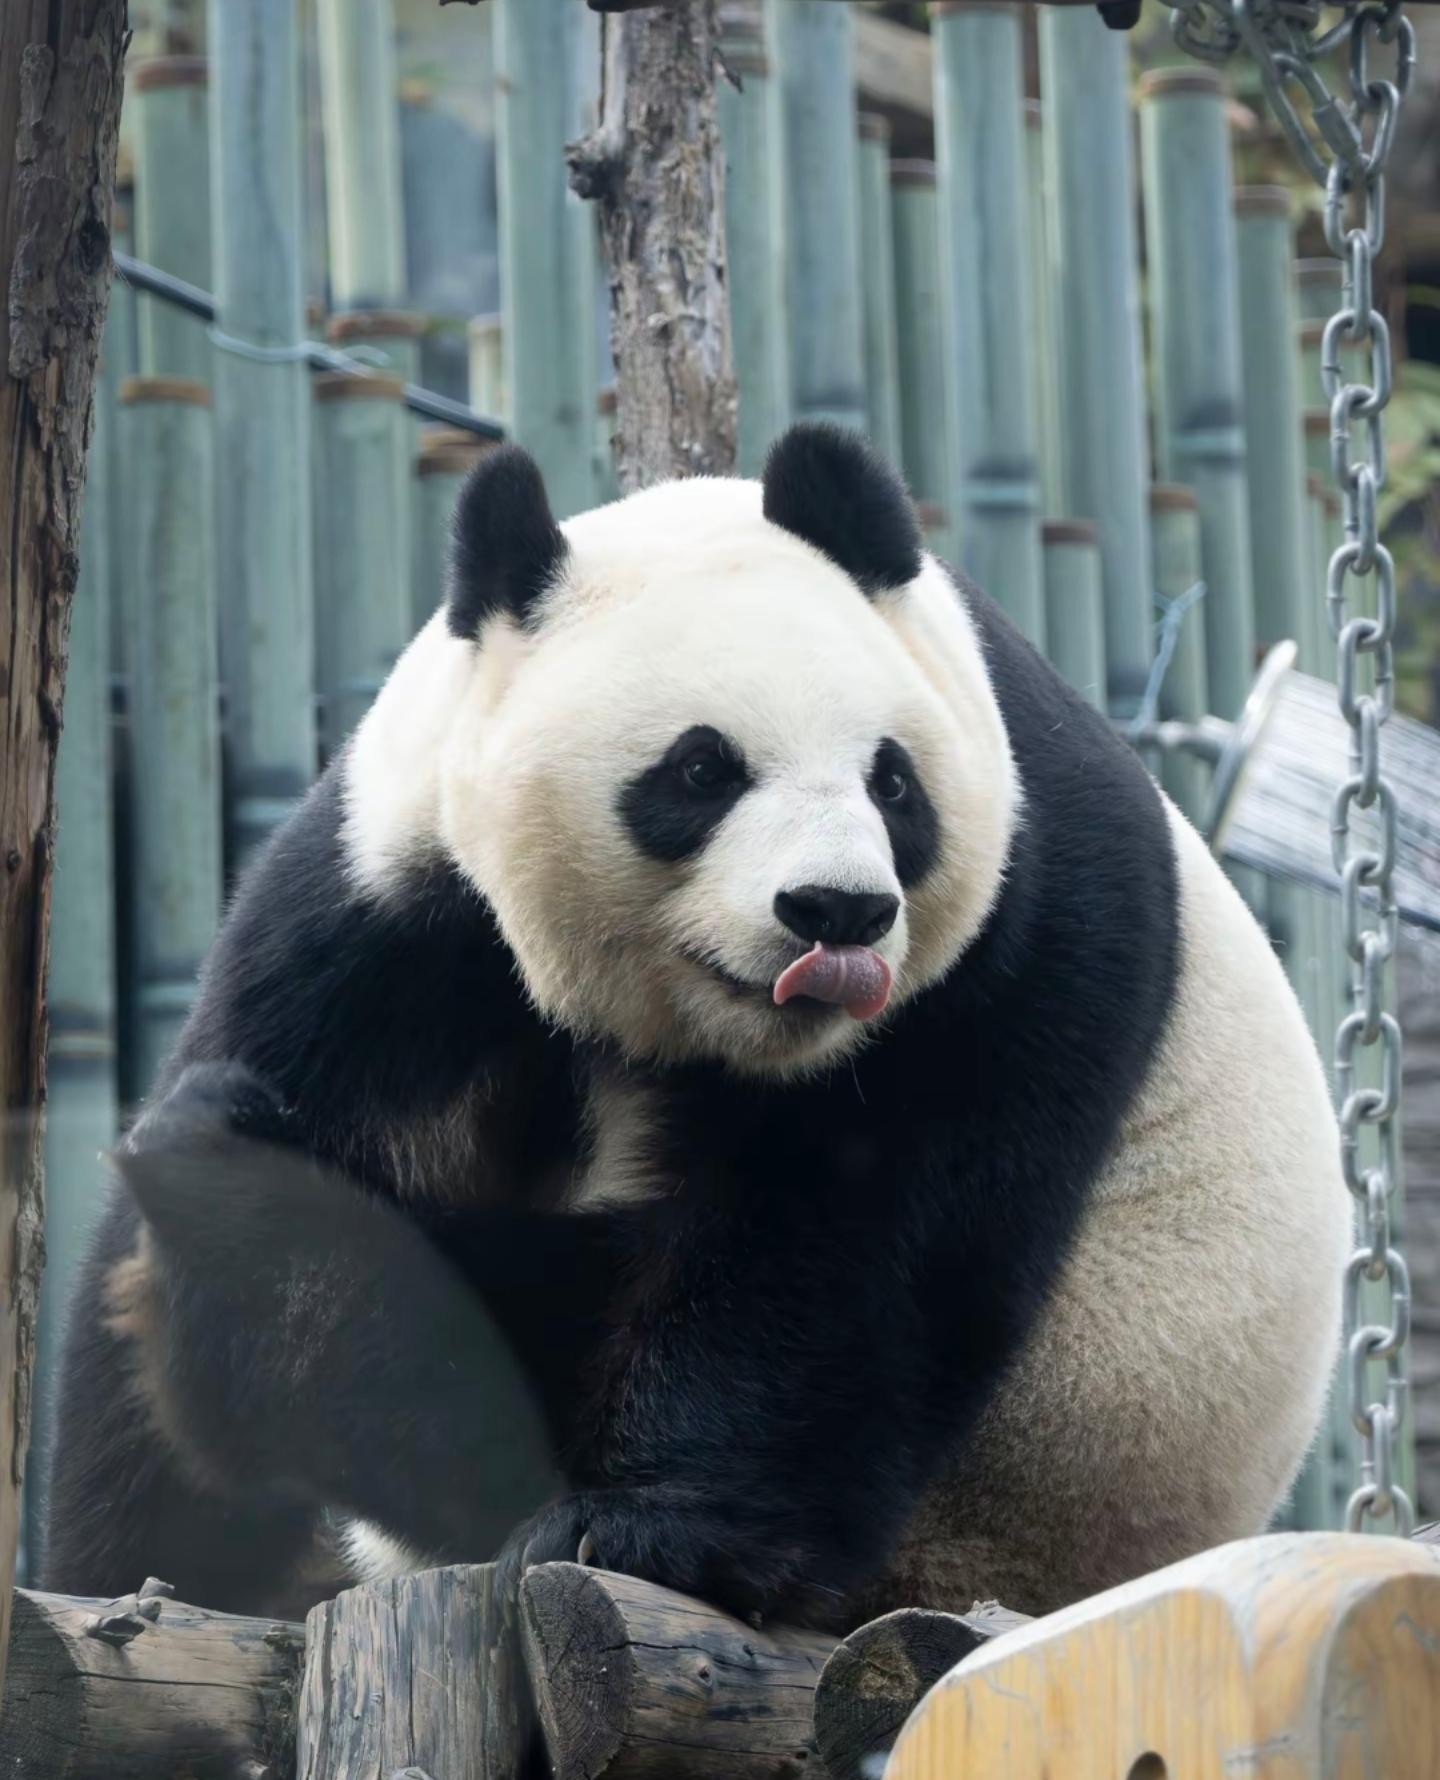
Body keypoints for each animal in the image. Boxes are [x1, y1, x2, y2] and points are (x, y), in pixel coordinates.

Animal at [42, 423, 1350, 1629]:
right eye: (701, 769)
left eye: (892, 782)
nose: (839, 913)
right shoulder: (393, 904)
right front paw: (140, 1567)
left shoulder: (1008, 936)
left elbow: (843, 1247)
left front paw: (645, 1530)